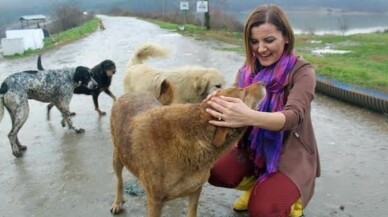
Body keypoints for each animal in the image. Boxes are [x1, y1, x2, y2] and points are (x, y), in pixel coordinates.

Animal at [110, 82, 266, 216]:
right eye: (244, 92)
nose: (262, 82)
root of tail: (131, 94)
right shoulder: (155, 201)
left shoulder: (195, 190)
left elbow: (192, 212)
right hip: (117, 157)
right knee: (119, 180)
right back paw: (117, 201)